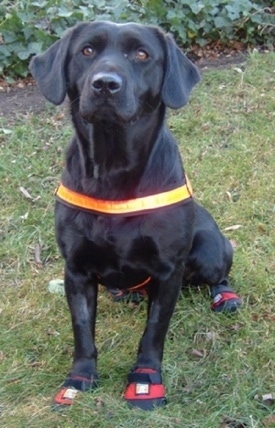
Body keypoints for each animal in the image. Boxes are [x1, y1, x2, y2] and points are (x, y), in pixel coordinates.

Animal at [29, 21, 242, 410]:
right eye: (87, 51)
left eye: (141, 54)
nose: (105, 84)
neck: (114, 169)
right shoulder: (76, 270)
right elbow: (82, 330)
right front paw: (79, 379)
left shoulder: (168, 271)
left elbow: (153, 332)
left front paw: (145, 380)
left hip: (210, 248)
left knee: (219, 272)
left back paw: (226, 297)